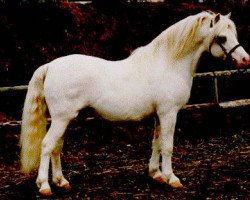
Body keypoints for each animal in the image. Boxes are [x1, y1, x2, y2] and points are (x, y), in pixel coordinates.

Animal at [20, 10, 249, 195]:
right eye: (222, 37)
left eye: (234, 34)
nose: (245, 59)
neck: (168, 63)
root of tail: (50, 66)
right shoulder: (169, 113)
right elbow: (167, 146)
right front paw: (172, 179)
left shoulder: (159, 115)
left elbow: (156, 143)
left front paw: (157, 174)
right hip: (61, 119)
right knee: (47, 145)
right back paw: (44, 186)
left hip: (65, 119)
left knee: (56, 147)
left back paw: (61, 182)